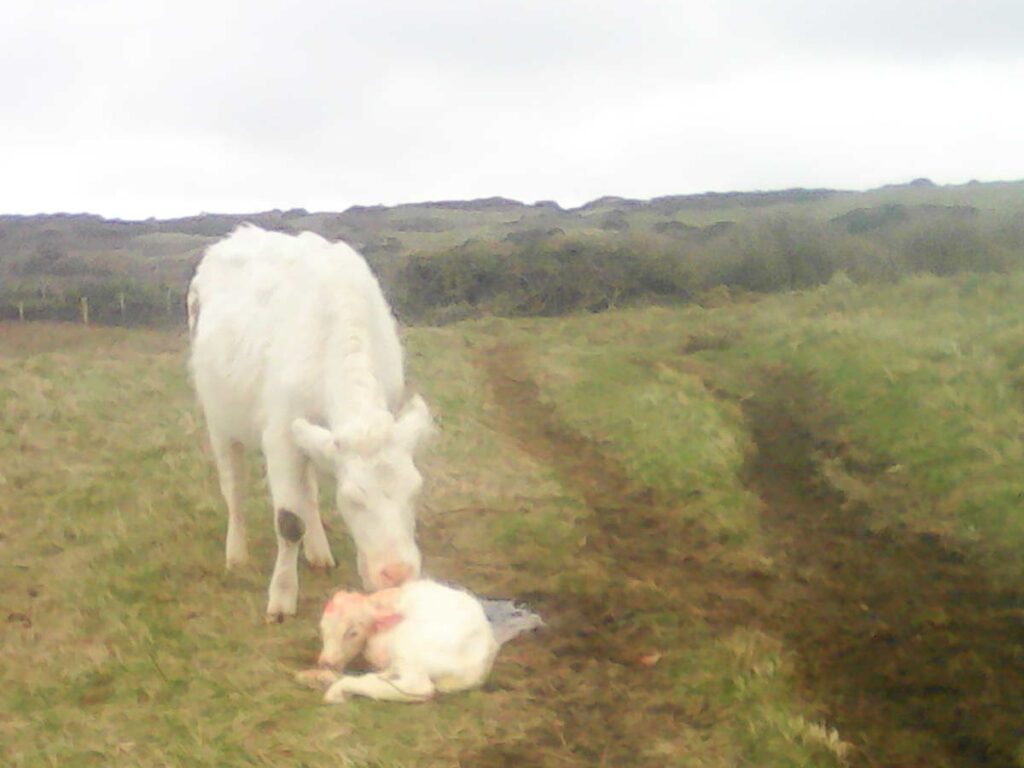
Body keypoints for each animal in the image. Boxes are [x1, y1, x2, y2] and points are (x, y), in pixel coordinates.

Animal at [188, 225, 432, 622]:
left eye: (415, 490)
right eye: (352, 499)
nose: (397, 574)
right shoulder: (280, 436)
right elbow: (289, 521)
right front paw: (282, 598)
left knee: (309, 492)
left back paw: (319, 552)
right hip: (218, 419)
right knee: (234, 487)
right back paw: (236, 553)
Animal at [299, 581, 497, 704]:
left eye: (353, 633)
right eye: (322, 628)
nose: (326, 663)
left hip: (409, 649)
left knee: (419, 688)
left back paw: (337, 689)